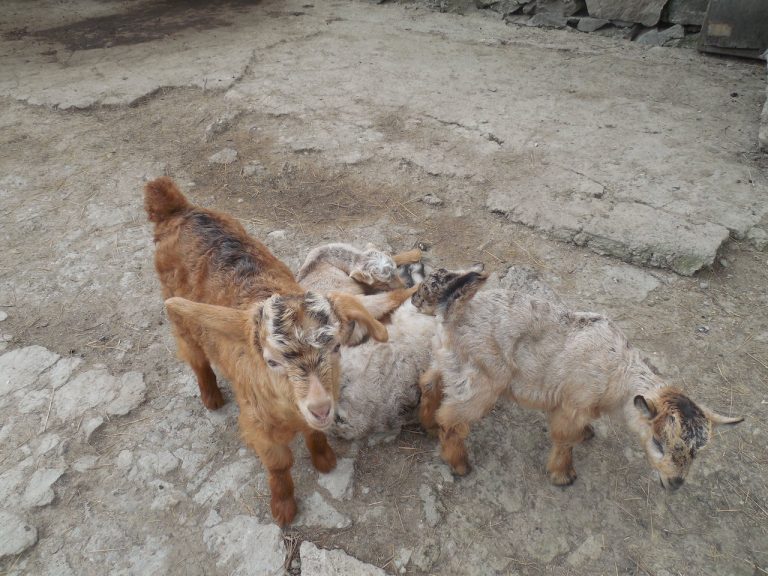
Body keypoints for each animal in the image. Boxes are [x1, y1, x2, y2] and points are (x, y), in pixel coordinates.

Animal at [144, 177, 388, 526]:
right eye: (271, 361)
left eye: (336, 346)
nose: (320, 407)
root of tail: (176, 207)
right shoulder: (258, 424)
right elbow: (278, 464)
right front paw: (283, 508)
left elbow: (315, 435)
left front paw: (325, 460)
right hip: (179, 315)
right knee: (196, 357)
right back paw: (211, 397)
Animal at [412, 265, 743, 490]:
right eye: (659, 443)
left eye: (697, 453)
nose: (675, 483)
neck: (617, 373)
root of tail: (453, 311)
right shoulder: (573, 403)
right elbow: (564, 439)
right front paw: (563, 475)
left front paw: (587, 434)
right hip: (482, 380)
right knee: (452, 419)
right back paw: (458, 463)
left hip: (448, 360)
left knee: (428, 384)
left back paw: (428, 426)